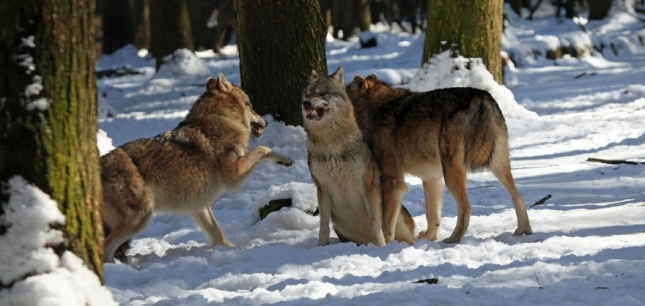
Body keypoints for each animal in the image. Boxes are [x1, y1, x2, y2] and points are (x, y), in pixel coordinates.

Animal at [101, 73, 294, 262]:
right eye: (251, 106)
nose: (266, 122)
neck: (222, 120)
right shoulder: (233, 177)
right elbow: (262, 148)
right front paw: (285, 159)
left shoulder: (197, 205)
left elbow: (218, 234)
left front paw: (232, 250)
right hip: (140, 218)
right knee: (105, 249)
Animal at [300, 67, 412, 246]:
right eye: (307, 94)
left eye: (322, 93)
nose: (306, 103)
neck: (332, 145)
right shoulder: (323, 189)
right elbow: (323, 225)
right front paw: (321, 247)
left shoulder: (368, 187)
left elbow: (376, 224)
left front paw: (380, 247)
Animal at [348, 73, 532, 244]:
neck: (376, 110)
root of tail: (479, 95)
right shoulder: (432, 178)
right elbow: (432, 214)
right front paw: (430, 237)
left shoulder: (392, 181)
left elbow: (386, 223)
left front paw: (386, 245)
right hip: (497, 165)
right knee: (518, 197)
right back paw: (525, 231)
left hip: (452, 173)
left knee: (466, 207)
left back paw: (453, 239)